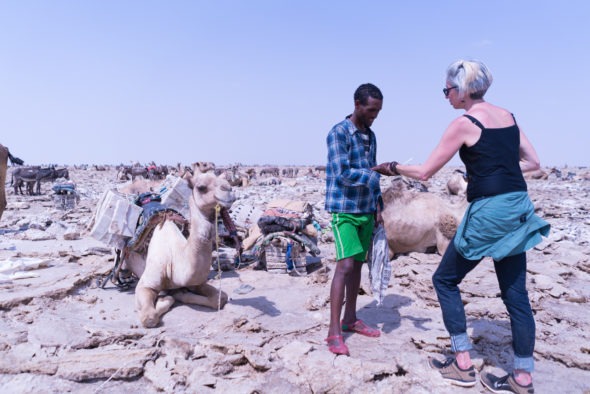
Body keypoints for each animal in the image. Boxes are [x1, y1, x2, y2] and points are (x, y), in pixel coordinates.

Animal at [123, 171, 236, 328]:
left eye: (227, 181)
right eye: (201, 187)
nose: (228, 190)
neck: (174, 259)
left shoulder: (195, 282)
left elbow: (221, 298)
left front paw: (180, 294)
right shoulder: (145, 285)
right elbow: (149, 317)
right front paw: (166, 298)